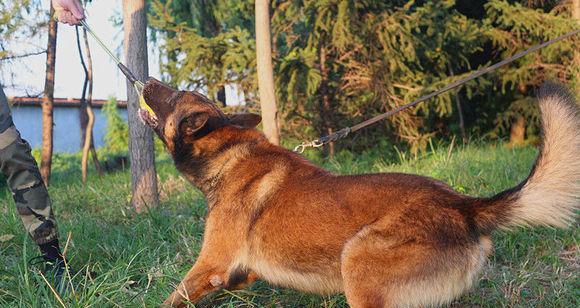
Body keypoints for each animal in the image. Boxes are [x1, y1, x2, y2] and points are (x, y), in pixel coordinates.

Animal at [140, 79, 580, 308]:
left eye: (172, 95)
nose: (145, 80)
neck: (227, 152)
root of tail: (464, 206)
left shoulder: (211, 264)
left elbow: (173, 296)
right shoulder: (235, 274)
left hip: (357, 263)